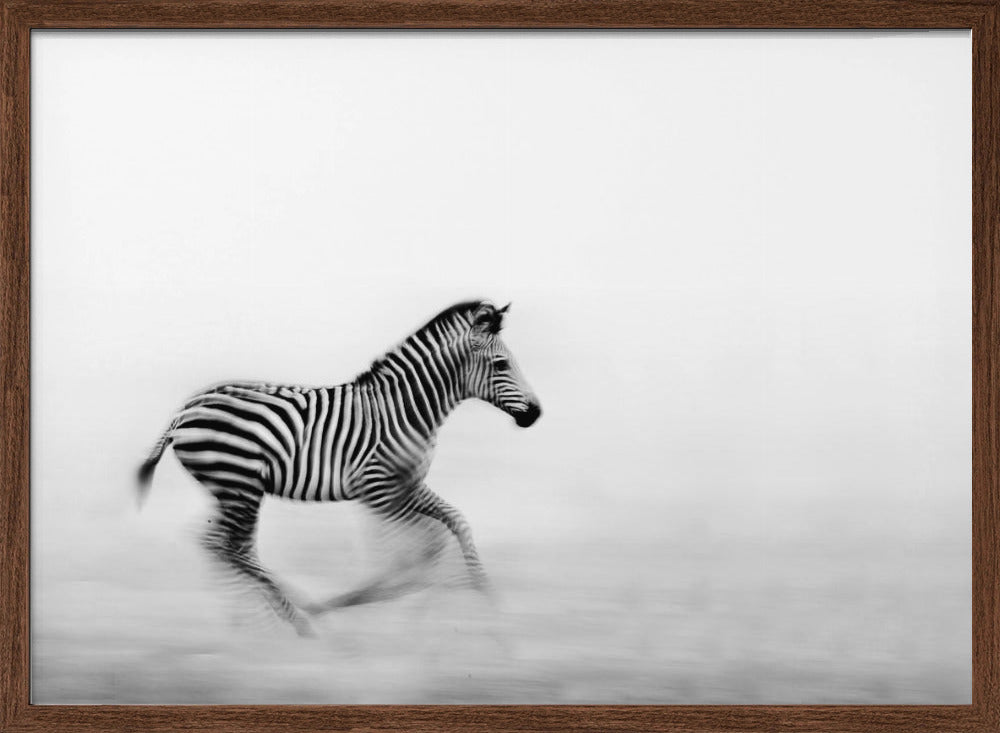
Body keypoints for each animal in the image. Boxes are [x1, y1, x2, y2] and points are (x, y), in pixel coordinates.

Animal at [137, 300, 542, 636]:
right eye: (502, 365)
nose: (536, 414)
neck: (407, 410)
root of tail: (185, 410)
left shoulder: (407, 486)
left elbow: (454, 526)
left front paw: (487, 599)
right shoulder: (379, 491)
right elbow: (411, 554)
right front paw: (378, 603)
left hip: (230, 488)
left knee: (226, 545)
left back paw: (255, 621)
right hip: (240, 484)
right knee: (226, 545)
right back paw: (294, 619)